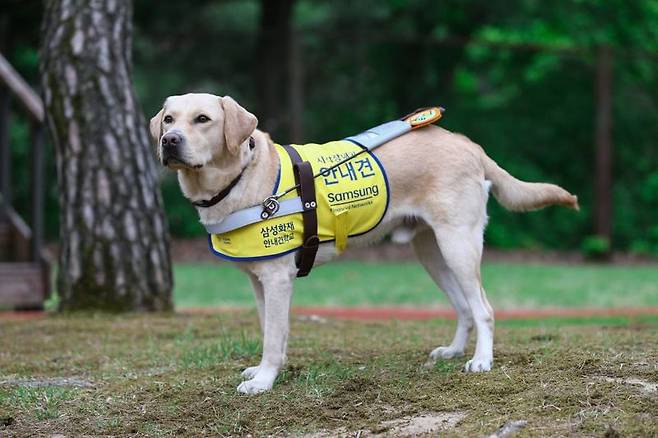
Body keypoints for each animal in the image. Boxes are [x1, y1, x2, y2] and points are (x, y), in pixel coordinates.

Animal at [149, 94, 576, 396]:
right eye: (169, 119)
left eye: (203, 119)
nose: (169, 141)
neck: (239, 178)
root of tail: (469, 145)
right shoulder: (258, 281)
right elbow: (273, 331)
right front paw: (267, 371)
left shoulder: (277, 278)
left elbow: (272, 335)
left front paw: (264, 381)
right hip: (432, 253)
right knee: (464, 308)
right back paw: (454, 351)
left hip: (458, 244)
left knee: (483, 308)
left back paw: (481, 361)